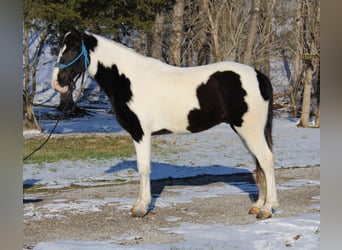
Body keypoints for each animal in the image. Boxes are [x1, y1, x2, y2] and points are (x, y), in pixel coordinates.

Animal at [52, 27, 280, 219]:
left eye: (72, 48)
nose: (57, 81)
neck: (128, 79)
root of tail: (259, 75)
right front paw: (138, 205)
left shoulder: (141, 133)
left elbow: (144, 168)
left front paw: (141, 208)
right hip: (246, 132)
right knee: (259, 164)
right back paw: (257, 205)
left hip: (250, 130)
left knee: (266, 160)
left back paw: (268, 208)